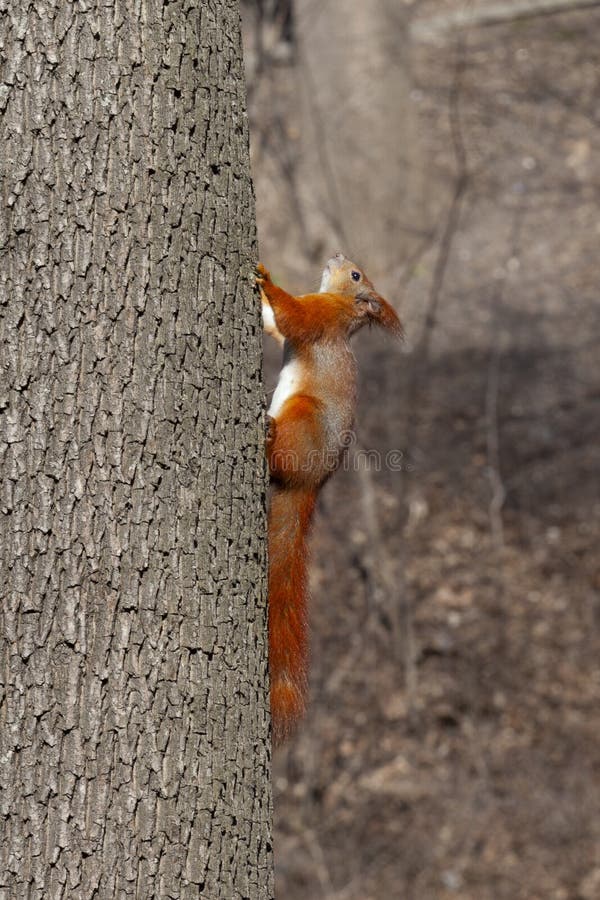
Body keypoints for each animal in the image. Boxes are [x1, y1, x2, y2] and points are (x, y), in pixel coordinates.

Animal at [255, 253, 400, 744]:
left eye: (355, 275)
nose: (336, 256)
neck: (343, 307)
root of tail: (311, 483)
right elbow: (275, 326)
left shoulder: (320, 318)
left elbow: (292, 317)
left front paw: (265, 277)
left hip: (303, 418)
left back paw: (268, 436)